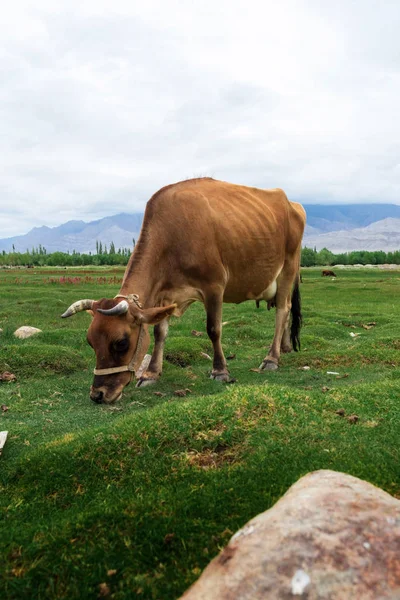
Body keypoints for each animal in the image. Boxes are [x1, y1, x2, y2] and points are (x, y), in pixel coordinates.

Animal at [61, 178, 306, 404]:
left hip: (288, 267)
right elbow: (160, 332)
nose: (98, 394)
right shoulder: (164, 296)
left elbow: (213, 329)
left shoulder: (214, 286)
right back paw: (284, 347)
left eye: (121, 343)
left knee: (283, 309)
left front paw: (220, 371)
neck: (173, 237)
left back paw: (271, 358)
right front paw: (151, 373)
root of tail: (292, 203)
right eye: (90, 341)